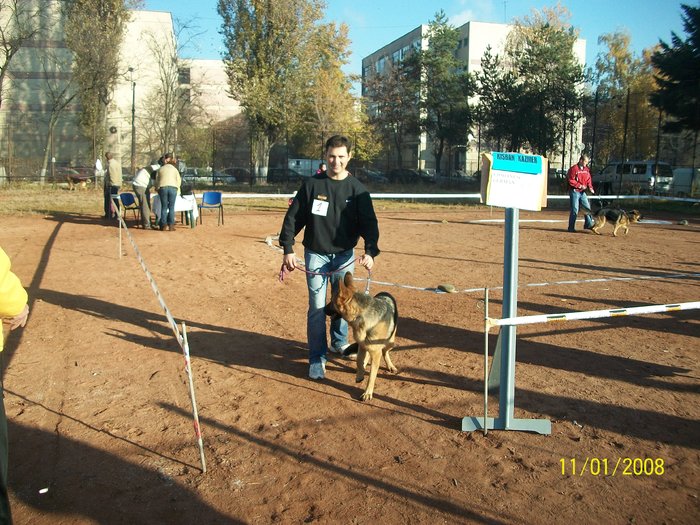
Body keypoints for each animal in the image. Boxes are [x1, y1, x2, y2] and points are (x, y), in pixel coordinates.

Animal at [324, 272, 396, 400]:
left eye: (332, 301)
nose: (322, 309)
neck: (360, 316)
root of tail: (385, 292)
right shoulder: (362, 345)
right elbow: (359, 360)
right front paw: (360, 374)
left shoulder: (375, 352)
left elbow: (372, 375)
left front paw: (367, 393)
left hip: (391, 342)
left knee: (385, 352)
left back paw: (390, 365)